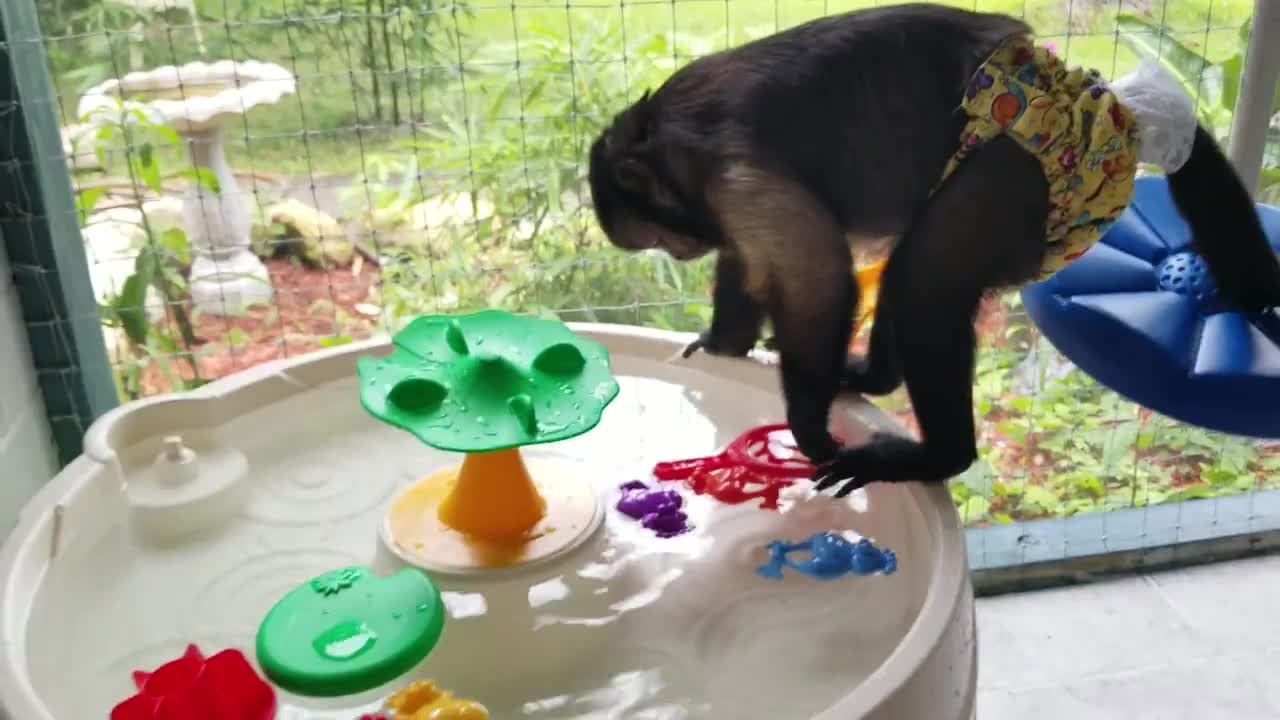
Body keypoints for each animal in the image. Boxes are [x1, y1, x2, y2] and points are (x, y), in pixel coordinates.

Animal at [586, 2, 1280, 491]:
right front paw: (725, 342)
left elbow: (816, 279)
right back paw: (873, 376)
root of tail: (1109, 107)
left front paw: (808, 430)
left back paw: (939, 456)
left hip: (1030, 170)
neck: (669, 136)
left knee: (925, 277)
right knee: (909, 262)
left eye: (659, 236)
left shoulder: (733, 178)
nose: (678, 254)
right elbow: (752, 263)